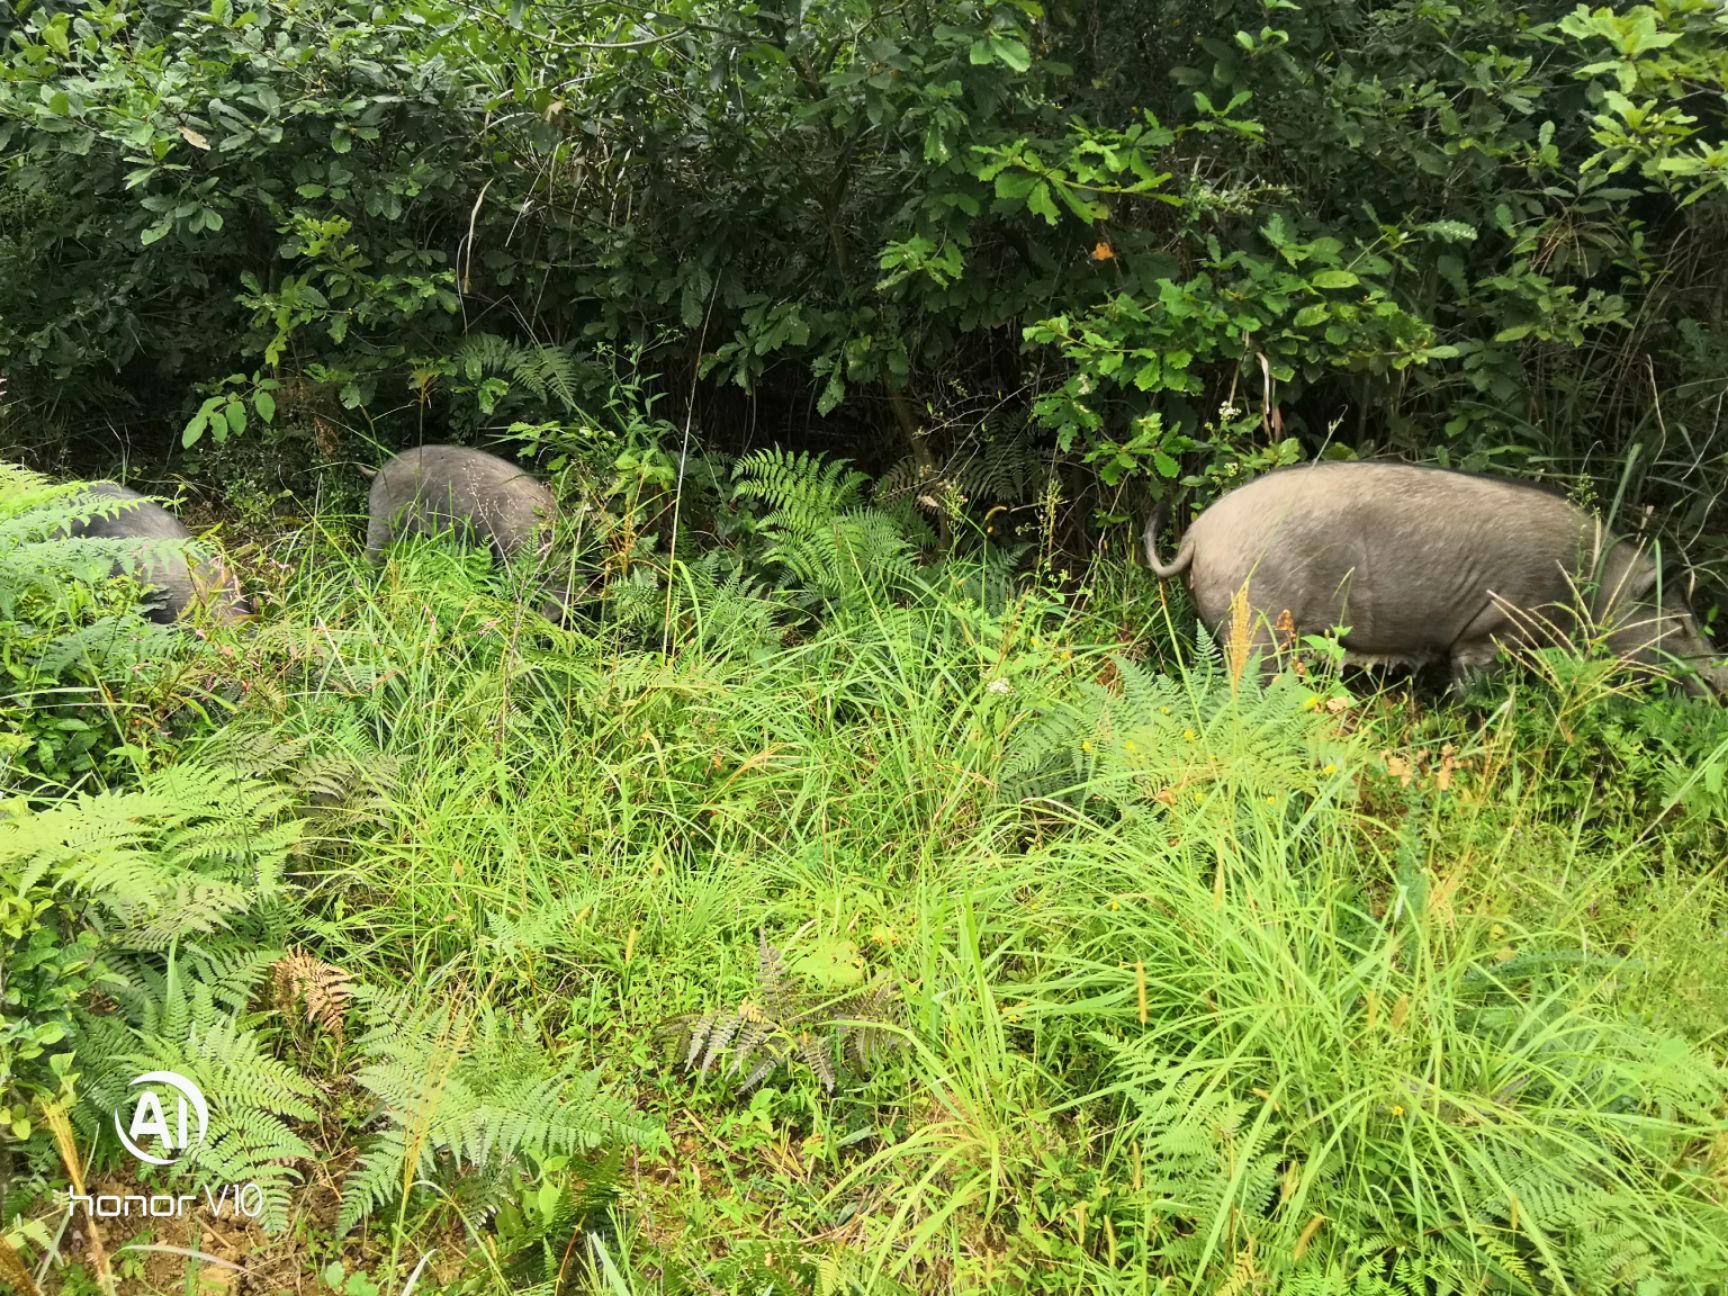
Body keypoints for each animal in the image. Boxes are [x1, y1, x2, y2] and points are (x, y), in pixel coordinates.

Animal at [1147, 463, 1728, 694]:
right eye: (1679, 624)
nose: (1719, 677)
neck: (1594, 590)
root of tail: (1197, 535)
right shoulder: (1492, 633)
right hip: (1258, 624)